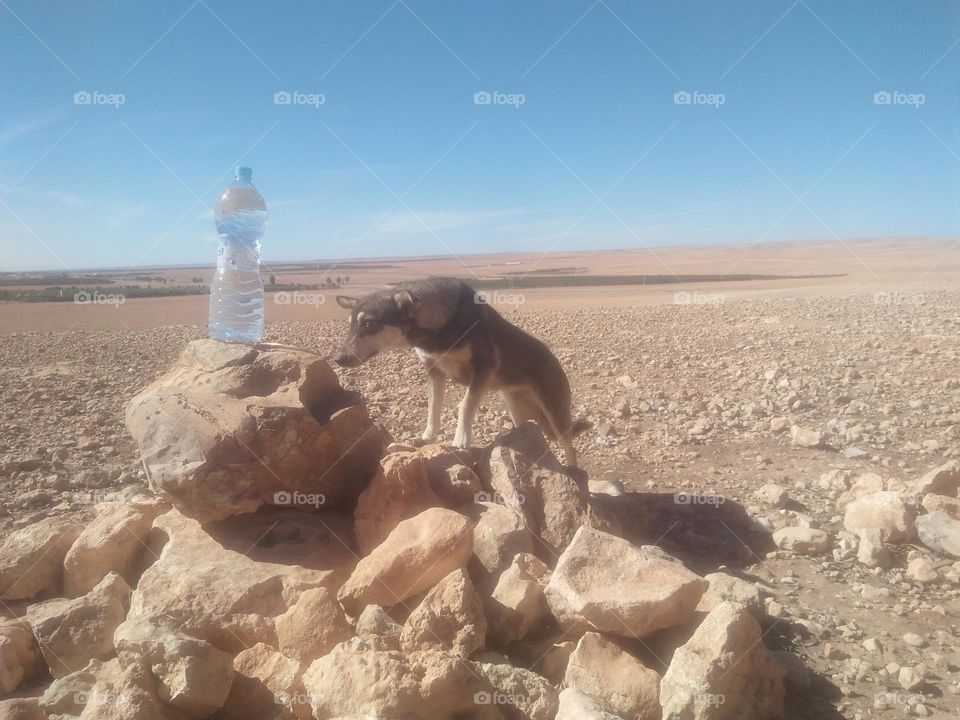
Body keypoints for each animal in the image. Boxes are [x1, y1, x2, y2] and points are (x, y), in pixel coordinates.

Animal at [338, 276, 592, 466]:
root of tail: (553, 360)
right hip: (519, 413)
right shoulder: (434, 371)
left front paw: (461, 438)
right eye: (350, 325)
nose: (338, 359)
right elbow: (433, 407)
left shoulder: (484, 367)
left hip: (556, 415)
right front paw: (427, 437)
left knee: (569, 447)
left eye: (368, 324)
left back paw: (572, 470)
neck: (437, 326)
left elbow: (465, 405)